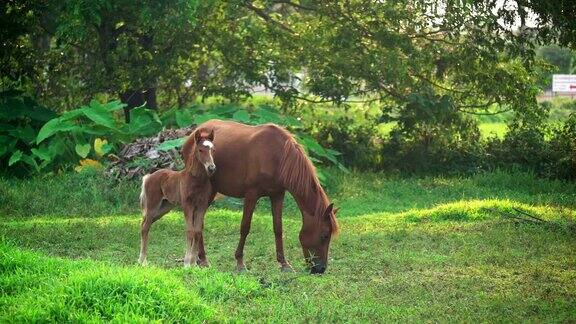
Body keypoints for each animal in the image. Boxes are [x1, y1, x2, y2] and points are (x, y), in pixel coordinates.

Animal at [138, 129, 217, 268]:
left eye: (212, 149)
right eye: (200, 150)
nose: (211, 168)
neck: (195, 180)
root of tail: (149, 176)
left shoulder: (202, 206)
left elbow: (197, 232)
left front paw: (194, 264)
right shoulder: (187, 205)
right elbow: (190, 231)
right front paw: (187, 263)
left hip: (163, 209)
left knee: (145, 224)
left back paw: (143, 260)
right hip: (153, 205)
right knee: (145, 228)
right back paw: (142, 261)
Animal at [183, 119, 338, 274]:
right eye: (325, 235)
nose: (321, 268)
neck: (278, 156)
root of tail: (194, 133)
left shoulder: (277, 195)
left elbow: (278, 228)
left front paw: (284, 263)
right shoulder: (251, 195)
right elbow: (245, 227)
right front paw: (240, 263)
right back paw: (203, 259)